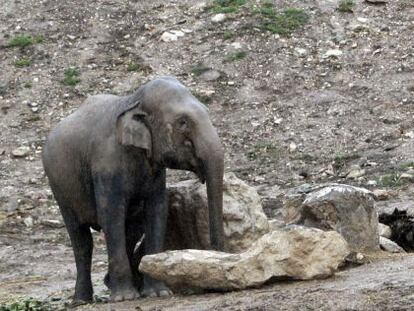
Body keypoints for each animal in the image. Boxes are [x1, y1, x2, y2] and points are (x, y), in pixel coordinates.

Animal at [42, 77, 225, 306]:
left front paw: (158, 293)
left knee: (131, 229)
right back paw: (82, 300)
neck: (133, 101)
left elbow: (157, 211)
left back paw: (108, 283)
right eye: (182, 122)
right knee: (81, 239)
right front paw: (124, 297)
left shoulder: (155, 171)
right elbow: (111, 215)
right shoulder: (106, 165)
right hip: (60, 188)